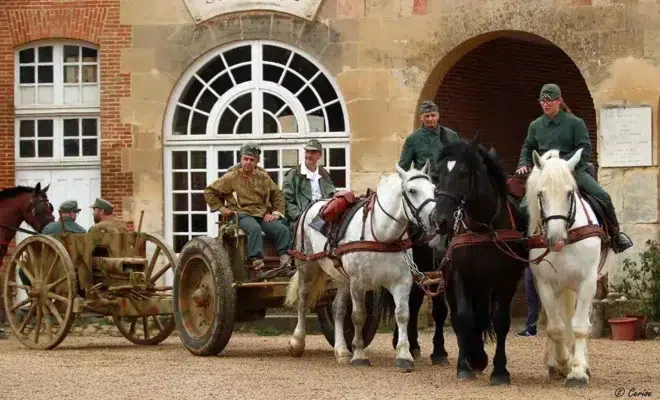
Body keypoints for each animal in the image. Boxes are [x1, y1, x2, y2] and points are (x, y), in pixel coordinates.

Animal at [284, 162, 438, 372]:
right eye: (412, 191)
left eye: (434, 189)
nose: (435, 219)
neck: (382, 236)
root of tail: (312, 204)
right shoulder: (358, 283)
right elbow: (359, 316)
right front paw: (359, 354)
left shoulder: (402, 282)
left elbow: (402, 315)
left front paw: (404, 356)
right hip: (308, 268)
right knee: (303, 300)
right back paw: (297, 342)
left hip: (341, 277)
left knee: (338, 309)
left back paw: (341, 350)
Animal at [428, 134, 524, 384]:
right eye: (438, 174)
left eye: (463, 172)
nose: (440, 221)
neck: (483, 227)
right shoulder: (459, 275)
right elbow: (463, 317)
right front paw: (464, 367)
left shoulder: (506, 279)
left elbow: (500, 321)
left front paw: (500, 371)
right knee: (455, 314)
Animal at [524, 148, 612, 388]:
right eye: (541, 194)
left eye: (570, 193)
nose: (556, 239)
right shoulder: (545, 284)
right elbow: (556, 327)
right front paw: (563, 363)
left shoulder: (588, 282)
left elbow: (580, 326)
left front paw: (578, 371)